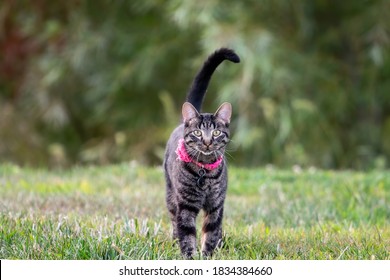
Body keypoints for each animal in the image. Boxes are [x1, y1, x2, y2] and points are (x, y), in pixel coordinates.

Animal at [163, 47, 239, 258]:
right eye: (197, 132)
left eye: (216, 132)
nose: (206, 141)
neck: (204, 172)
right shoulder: (186, 206)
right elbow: (187, 234)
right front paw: (189, 255)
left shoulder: (215, 205)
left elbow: (211, 233)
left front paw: (207, 256)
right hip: (171, 196)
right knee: (174, 222)